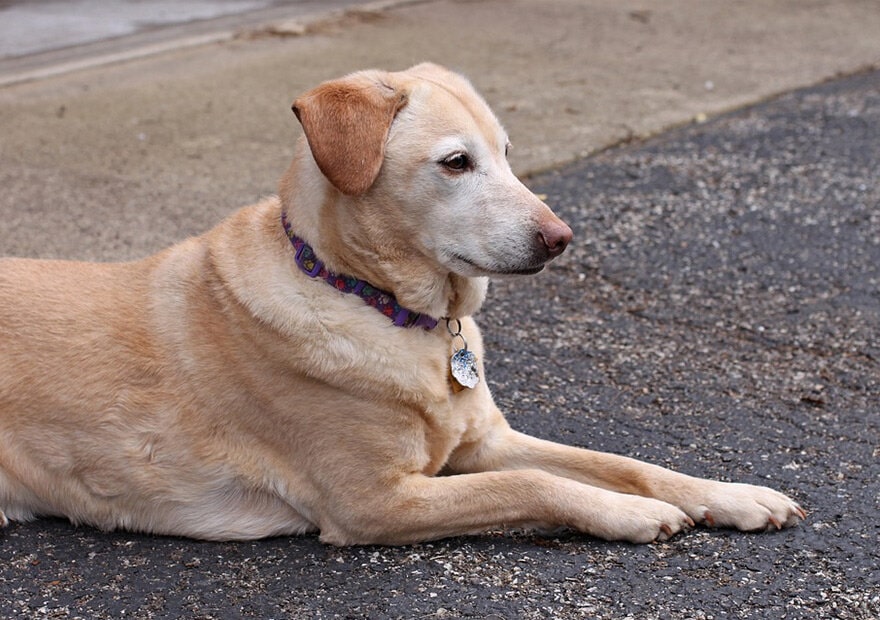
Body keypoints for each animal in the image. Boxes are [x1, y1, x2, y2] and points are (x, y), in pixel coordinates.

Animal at [0, 64, 804, 544]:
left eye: (507, 153)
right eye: (456, 162)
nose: (561, 238)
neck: (383, 305)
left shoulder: (482, 442)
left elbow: (624, 460)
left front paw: (729, 494)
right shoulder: (375, 501)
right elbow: (535, 482)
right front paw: (631, 515)